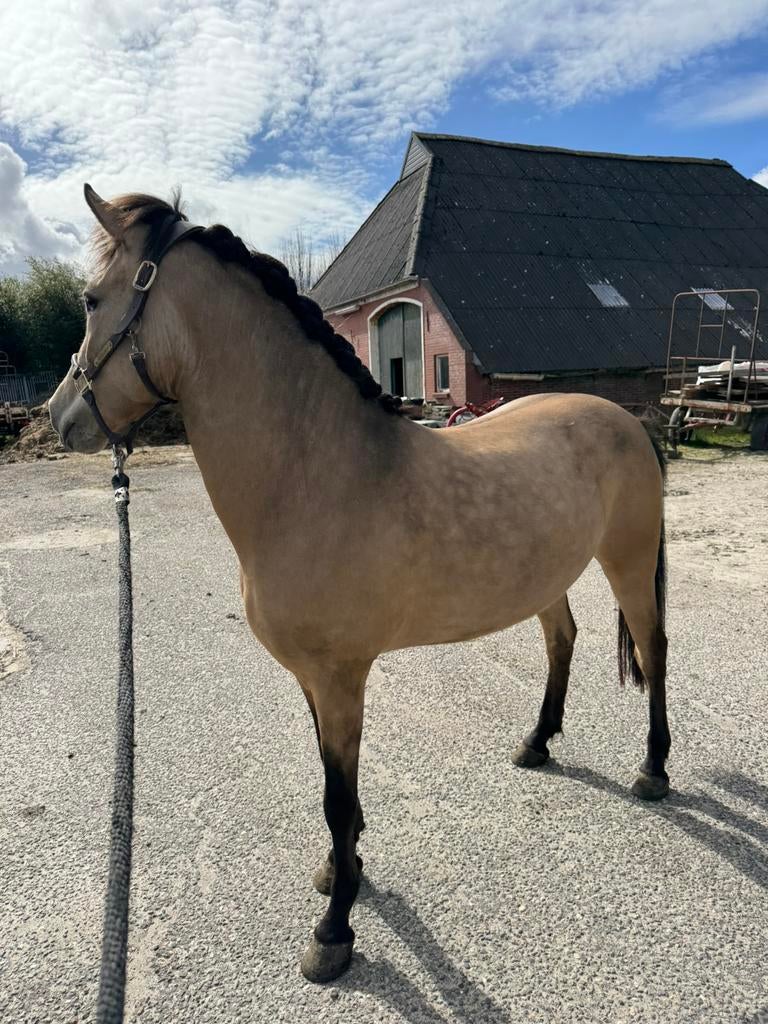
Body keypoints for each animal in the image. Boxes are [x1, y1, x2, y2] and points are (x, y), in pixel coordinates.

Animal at [50, 186, 670, 984]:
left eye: (92, 300)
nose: (59, 418)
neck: (316, 474)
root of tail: (626, 418)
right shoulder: (313, 680)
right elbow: (332, 789)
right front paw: (342, 870)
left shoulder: (342, 677)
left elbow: (336, 799)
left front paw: (335, 928)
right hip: (548, 577)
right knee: (562, 640)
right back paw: (537, 743)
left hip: (629, 562)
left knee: (652, 651)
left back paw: (652, 770)